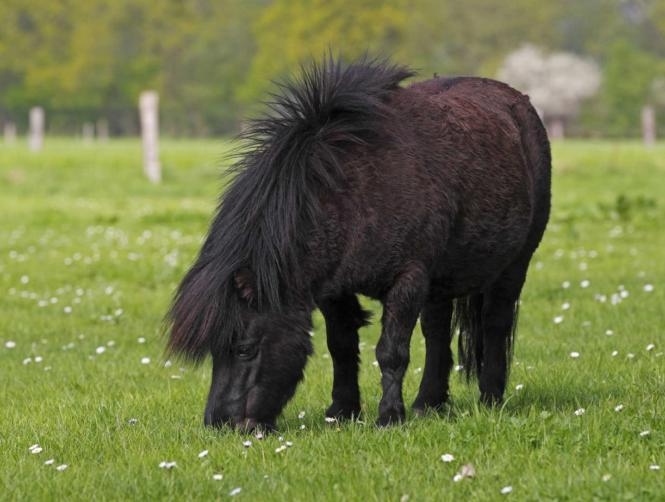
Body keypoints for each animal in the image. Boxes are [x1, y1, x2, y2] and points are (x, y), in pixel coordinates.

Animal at [166, 56, 551, 431]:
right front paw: (342, 411)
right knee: (437, 331)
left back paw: (490, 398)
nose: (220, 423)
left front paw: (389, 417)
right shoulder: (333, 289)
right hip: (442, 279)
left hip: (513, 266)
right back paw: (428, 403)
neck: (354, 191)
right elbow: (341, 345)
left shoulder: (408, 280)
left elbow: (391, 351)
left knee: (495, 323)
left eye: (245, 348)